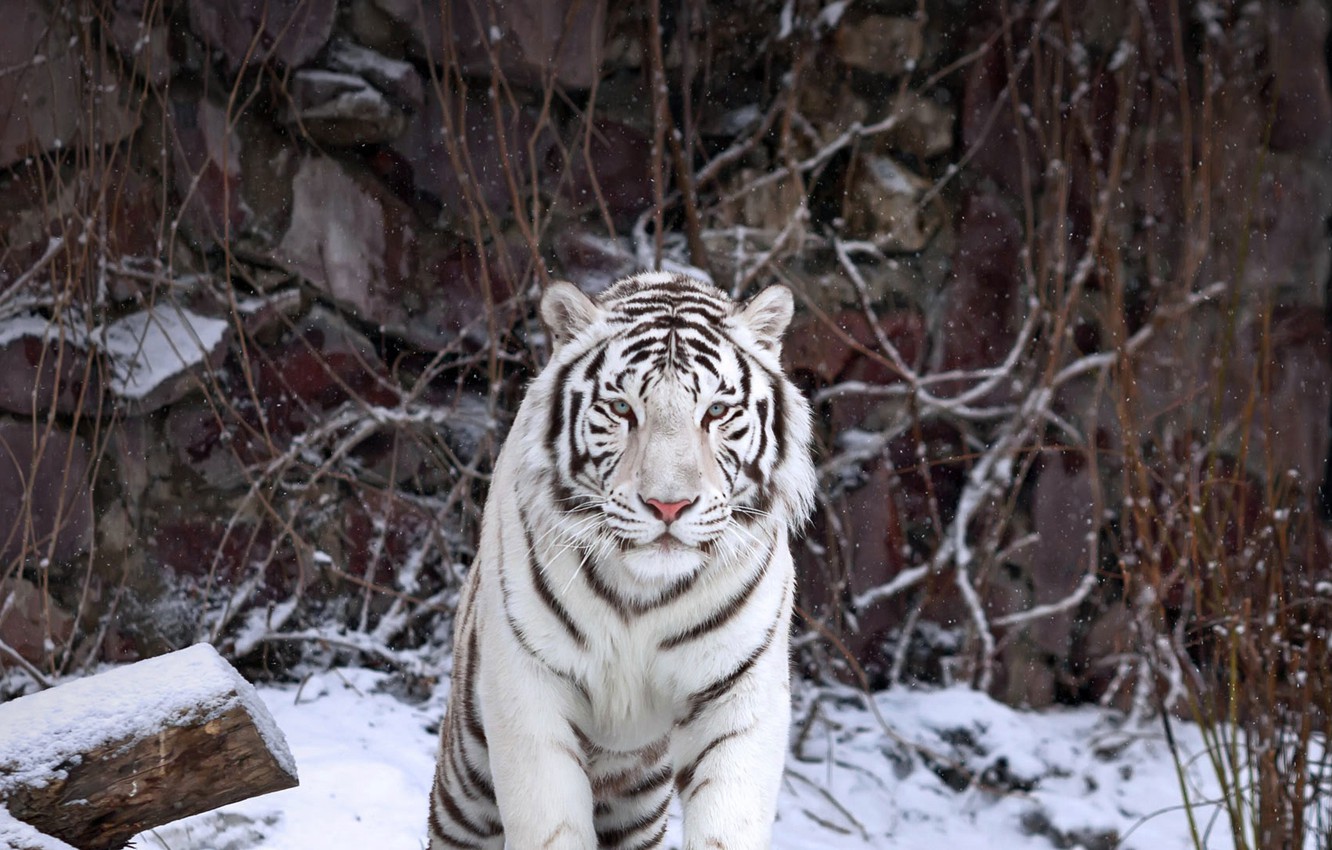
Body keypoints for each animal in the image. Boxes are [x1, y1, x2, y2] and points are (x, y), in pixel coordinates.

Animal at [428, 272, 816, 850]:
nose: (669, 505)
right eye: (622, 410)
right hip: (466, 783)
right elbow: (550, 825)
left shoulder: (739, 693)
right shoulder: (529, 686)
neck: (643, 593)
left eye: (716, 412)